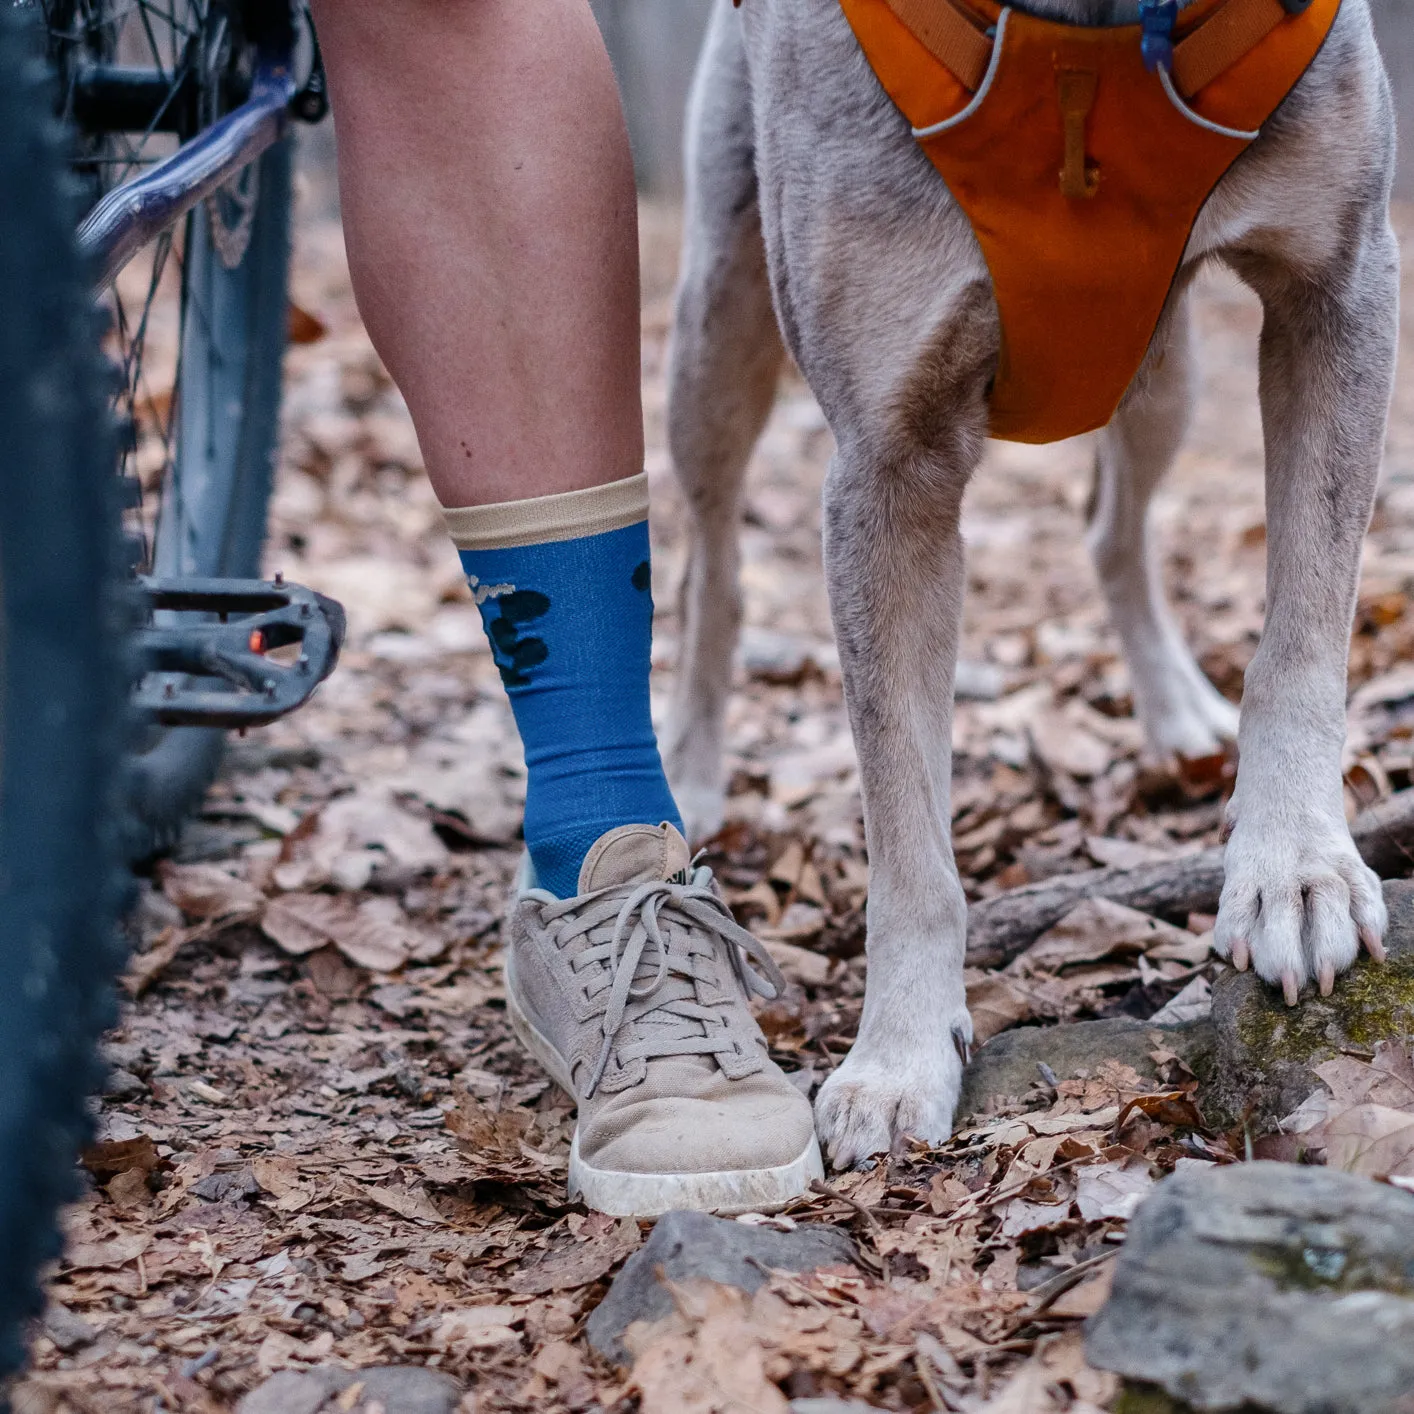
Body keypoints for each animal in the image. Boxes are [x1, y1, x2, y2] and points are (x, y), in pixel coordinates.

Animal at [656, 0, 1397, 1170]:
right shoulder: (888, 451)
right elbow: (906, 822)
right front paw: (899, 1057)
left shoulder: (1337, 277)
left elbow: (1301, 632)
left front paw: (1293, 868)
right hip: (717, 320)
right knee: (710, 562)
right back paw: (688, 770)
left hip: (1163, 370)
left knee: (1111, 533)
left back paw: (1177, 712)